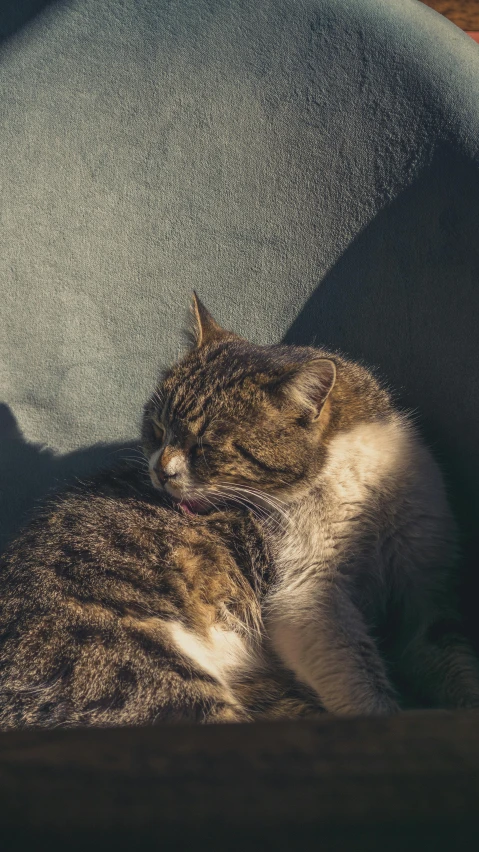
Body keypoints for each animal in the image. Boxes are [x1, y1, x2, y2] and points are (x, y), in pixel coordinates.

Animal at [0, 292, 478, 724]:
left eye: (205, 446)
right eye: (156, 429)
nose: (159, 471)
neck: (353, 483)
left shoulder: (426, 590)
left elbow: (453, 661)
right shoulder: (308, 598)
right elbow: (362, 687)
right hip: (142, 675)